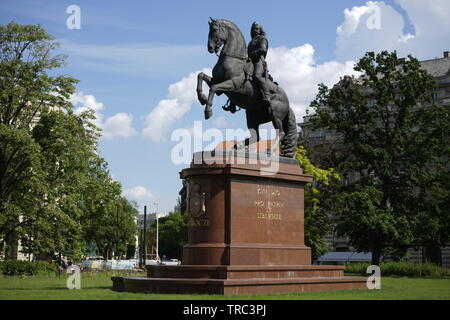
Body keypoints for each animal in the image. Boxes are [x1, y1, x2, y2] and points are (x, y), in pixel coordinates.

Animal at [195, 17, 298, 158]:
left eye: (215, 30)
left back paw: (269, 151)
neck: (233, 59)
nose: (210, 47)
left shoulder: (232, 85)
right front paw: (202, 98)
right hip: (252, 116)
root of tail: (288, 103)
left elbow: (214, 88)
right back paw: (237, 147)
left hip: (274, 114)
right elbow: (201, 76)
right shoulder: (216, 81)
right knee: (256, 136)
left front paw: (208, 111)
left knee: (280, 132)